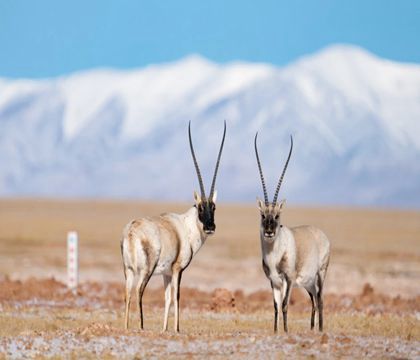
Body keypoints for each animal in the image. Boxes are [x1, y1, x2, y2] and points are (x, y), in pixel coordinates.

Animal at [120, 121, 226, 332]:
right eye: (201, 207)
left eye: (214, 207)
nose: (210, 227)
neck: (186, 227)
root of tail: (132, 233)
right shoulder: (177, 270)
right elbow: (176, 297)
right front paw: (176, 328)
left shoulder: (166, 273)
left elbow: (167, 298)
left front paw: (165, 328)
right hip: (145, 270)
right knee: (138, 290)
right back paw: (141, 326)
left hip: (128, 270)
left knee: (127, 293)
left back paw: (127, 327)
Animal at [254, 134, 330, 334]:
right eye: (263, 215)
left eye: (277, 215)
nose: (269, 231)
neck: (275, 252)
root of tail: (321, 234)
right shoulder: (274, 280)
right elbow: (275, 306)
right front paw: (276, 331)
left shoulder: (288, 278)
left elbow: (285, 305)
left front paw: (286, 331)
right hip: (307, 282)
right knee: (313, 300)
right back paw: (311, 329)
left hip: (320, 273)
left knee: (320, 300)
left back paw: (320, 330)